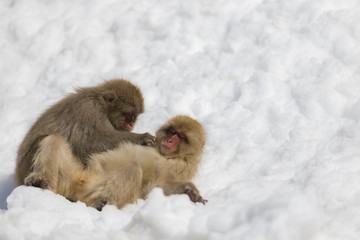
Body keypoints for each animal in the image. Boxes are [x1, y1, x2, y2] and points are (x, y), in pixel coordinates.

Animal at [15, 79, 155, 197]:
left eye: (134, 116)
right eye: (129, 115)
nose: (131, 124)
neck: (101, 104)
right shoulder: (90, 111)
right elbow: (92, 143)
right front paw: (142, 138)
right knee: (52, 140)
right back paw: (38, 180)